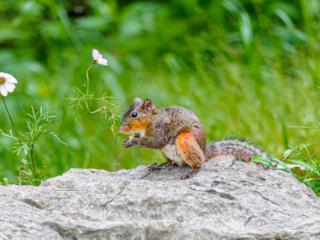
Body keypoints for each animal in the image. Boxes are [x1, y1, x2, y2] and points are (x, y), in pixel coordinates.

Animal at [119, 96, 268, 179]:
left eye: (134, 114)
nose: (120, 130)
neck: (152, 119)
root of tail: (204, 152)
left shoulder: (159, 131)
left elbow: (154, 141)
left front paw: (133, 141)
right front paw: (127, 140)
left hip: (185, 140)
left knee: (198, 163)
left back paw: (191, 172)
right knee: (171, 162)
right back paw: (160, 165)